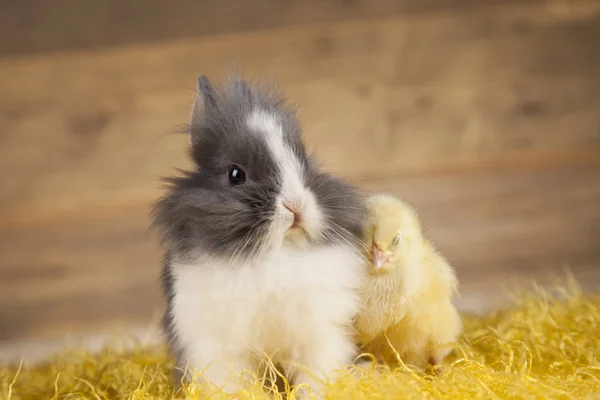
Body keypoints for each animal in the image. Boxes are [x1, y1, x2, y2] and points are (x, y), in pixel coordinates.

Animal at [151, 74, 366, 396]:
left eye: (304, 163)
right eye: (235, 174)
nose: (296, 204)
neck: (274, 254)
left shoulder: (320, 338)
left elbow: (312, 381)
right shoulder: (218, 348)